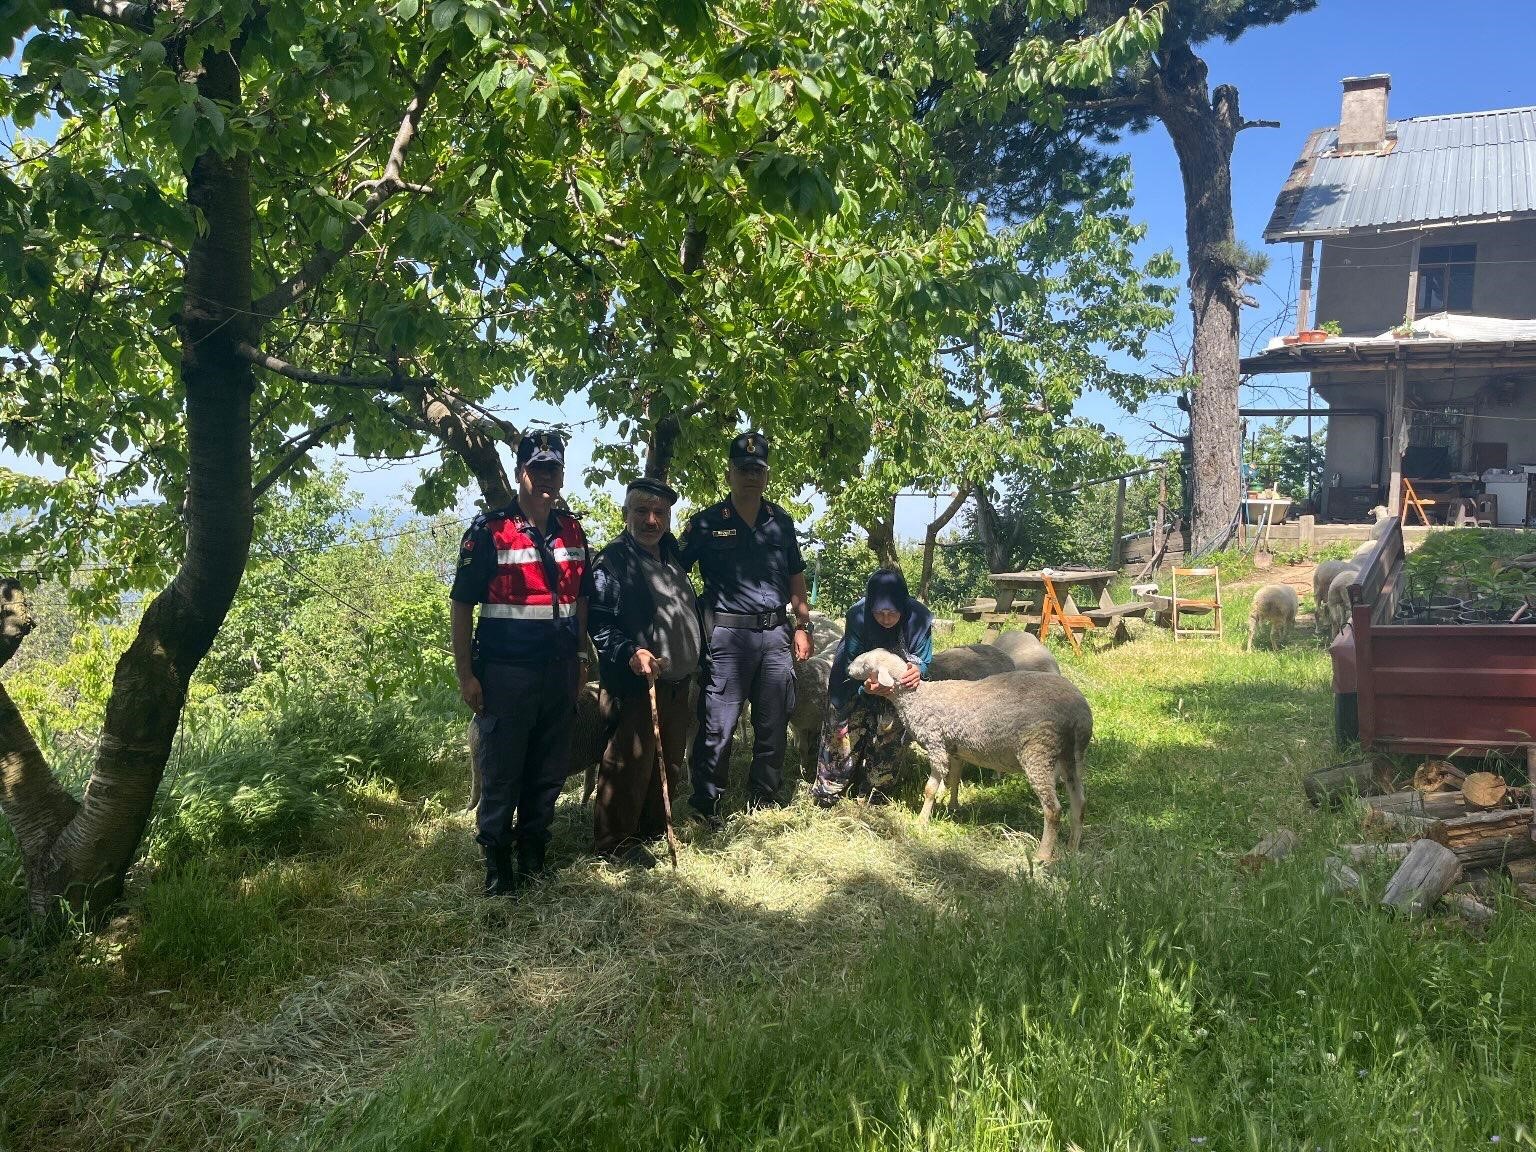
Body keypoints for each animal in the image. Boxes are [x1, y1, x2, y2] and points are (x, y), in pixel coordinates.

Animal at [847, 645, 1087, 860]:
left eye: (866, 665)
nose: (848, 669)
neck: (917, 698)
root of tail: (1078, 711)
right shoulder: (954, 749)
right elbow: (954, 779)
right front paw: (953, 807)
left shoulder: (936, 745)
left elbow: (930, 789)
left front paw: (921, 821)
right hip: (1071, 756)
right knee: (1079, 802)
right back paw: (1072, 849)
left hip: (1039, 750)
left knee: (1053, 810)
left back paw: (1043, 856)